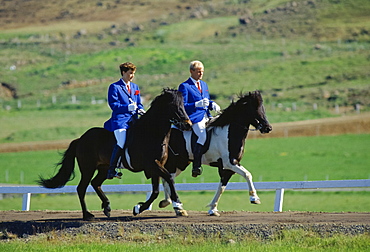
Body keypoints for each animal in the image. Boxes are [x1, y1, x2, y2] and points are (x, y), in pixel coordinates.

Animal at [38, 88, 191, 220]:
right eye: (173, 105)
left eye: (183, 105)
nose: (188, 124)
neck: (151, 133)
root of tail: (80, 139)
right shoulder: (152, 165)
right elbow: (169, 179)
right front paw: (178, 203)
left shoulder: (156, 166)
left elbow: (155, 191)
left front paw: (138, 208)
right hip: (88, 168)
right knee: (81, 188)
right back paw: (87, 215)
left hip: (103, 168)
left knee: (95, 183)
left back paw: (107, 207)